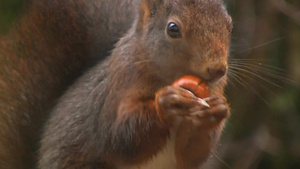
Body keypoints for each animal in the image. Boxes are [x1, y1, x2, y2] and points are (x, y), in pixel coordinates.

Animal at [38, 0, 232, 168]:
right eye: (173, 29)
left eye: (229, 26)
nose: (218, 69)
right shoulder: (119, 85)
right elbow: (119, 138)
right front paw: (168, 103)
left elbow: (190, 155)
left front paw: (215, 112)